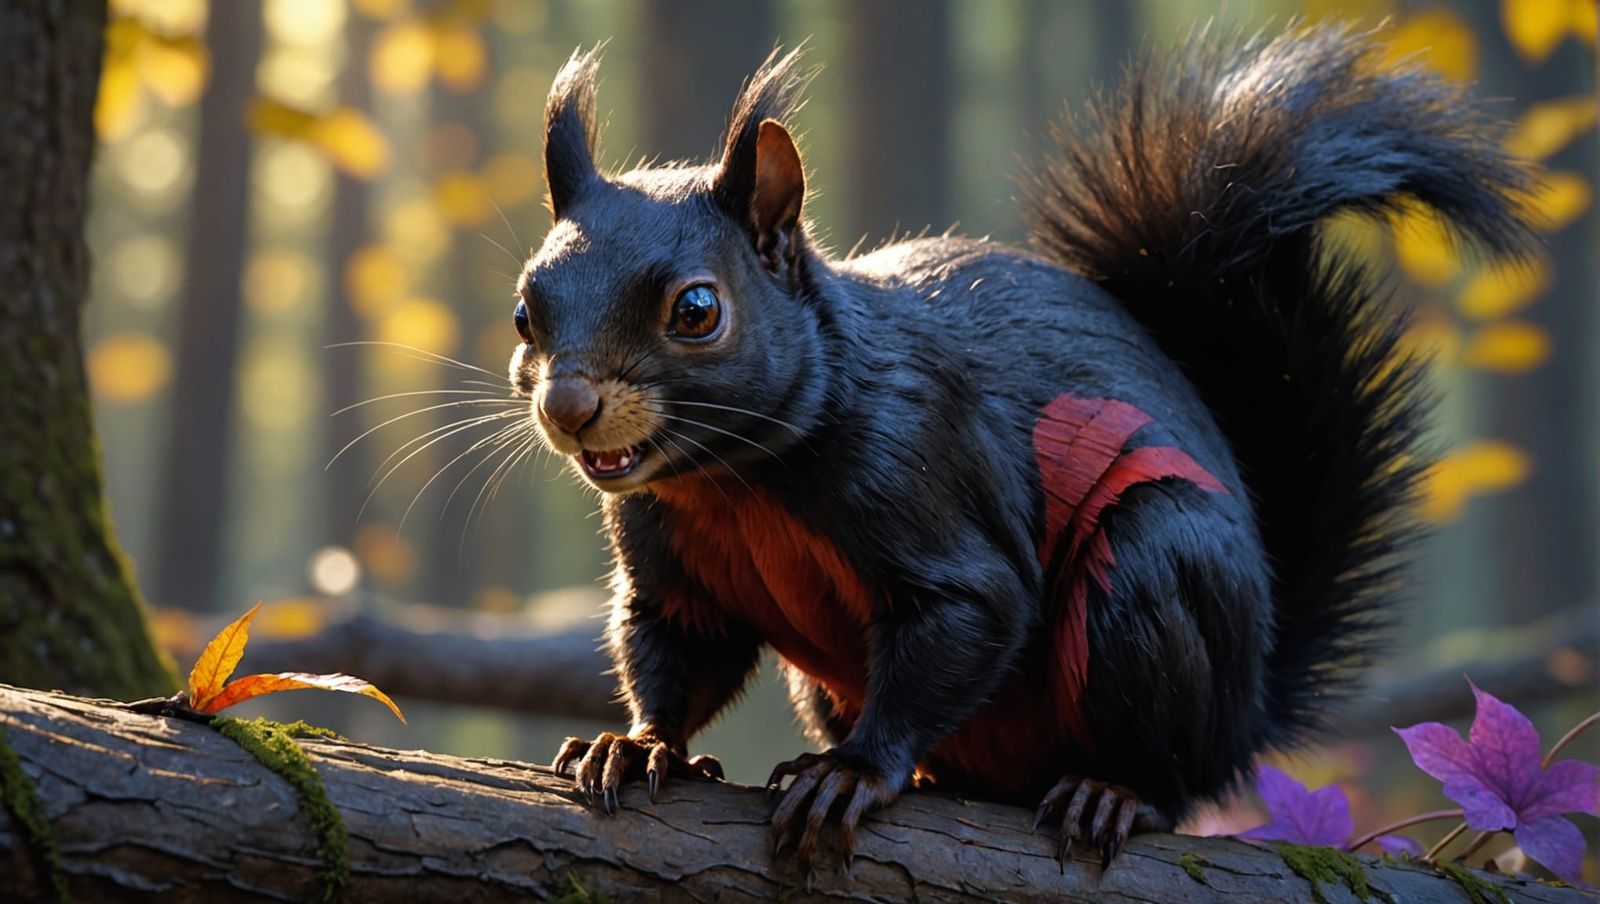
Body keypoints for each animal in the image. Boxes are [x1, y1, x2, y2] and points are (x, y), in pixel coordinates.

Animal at [513, 25, 1534, 868]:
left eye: (697, 310)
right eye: (526, 309)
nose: (568, 404)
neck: (733, 480)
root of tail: (1245, 715)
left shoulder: (922, 478)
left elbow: (971, 615)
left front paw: (856, 771)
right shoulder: (672, 565)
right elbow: (675, 653)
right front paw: (638, 743)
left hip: (1152, 573)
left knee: (1170, 776)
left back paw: (1110, 794)